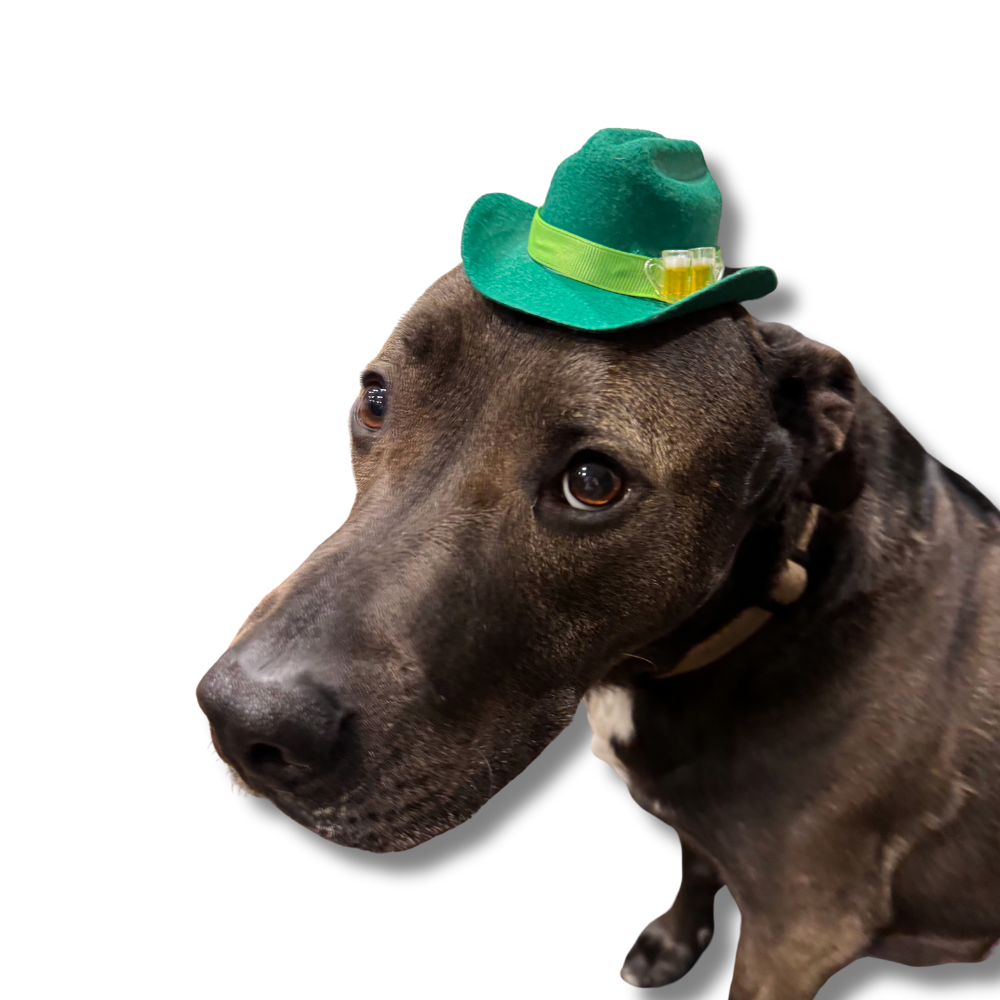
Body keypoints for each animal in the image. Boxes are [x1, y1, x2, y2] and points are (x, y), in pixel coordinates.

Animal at [197, 266, 1000, 1000]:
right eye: (376, 400)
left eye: (592, 482)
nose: (241, 722)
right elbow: (696, 861)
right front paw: (674, 941)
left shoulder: (797, 935)